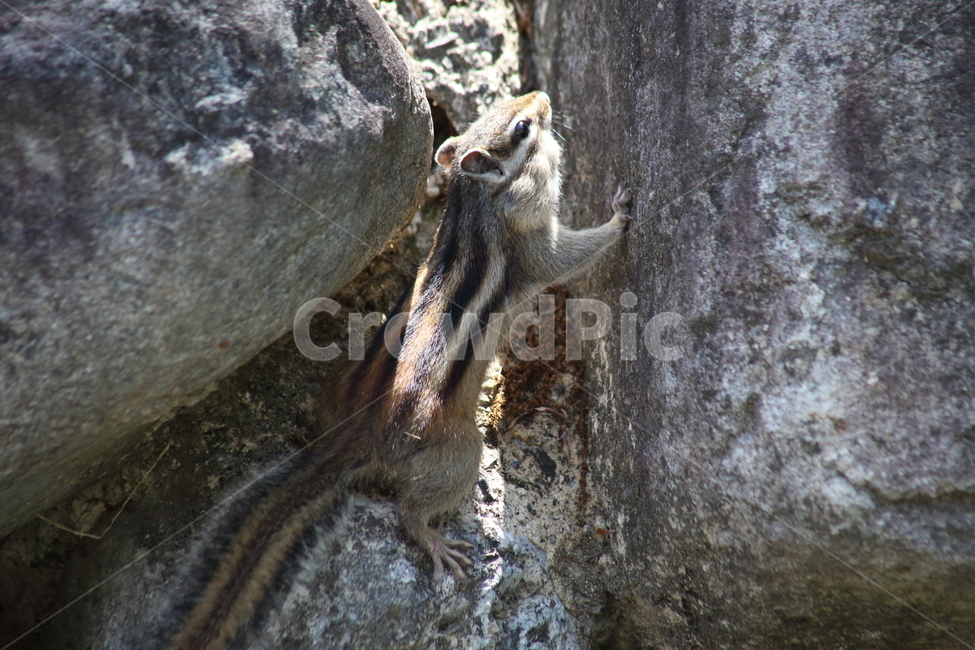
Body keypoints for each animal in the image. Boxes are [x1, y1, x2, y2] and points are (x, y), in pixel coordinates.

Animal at [152, 91, 634, 650]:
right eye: (521, 128)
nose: (541, 97)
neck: (479, 205)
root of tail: (353, 438)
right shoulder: (534, 248)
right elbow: (572, 255)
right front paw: (619, 217)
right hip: (459, 453)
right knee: (410, 509)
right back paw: (435, 541)